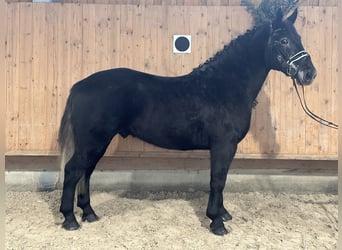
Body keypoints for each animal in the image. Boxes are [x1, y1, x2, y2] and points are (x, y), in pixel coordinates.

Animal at [58, 8, 316, 235]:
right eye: (283, 40)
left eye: (299, 38)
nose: (309, 73)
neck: (225, 86)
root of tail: (79, 86)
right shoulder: (223, 145)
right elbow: (218, 180)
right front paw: (216, 222)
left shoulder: (225, 147)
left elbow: (221, 179)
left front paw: (222, 213)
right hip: (93, 141)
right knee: (73, 170)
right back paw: (70, 219)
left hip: (96, 143)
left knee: (86, 172)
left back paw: (89, 213)